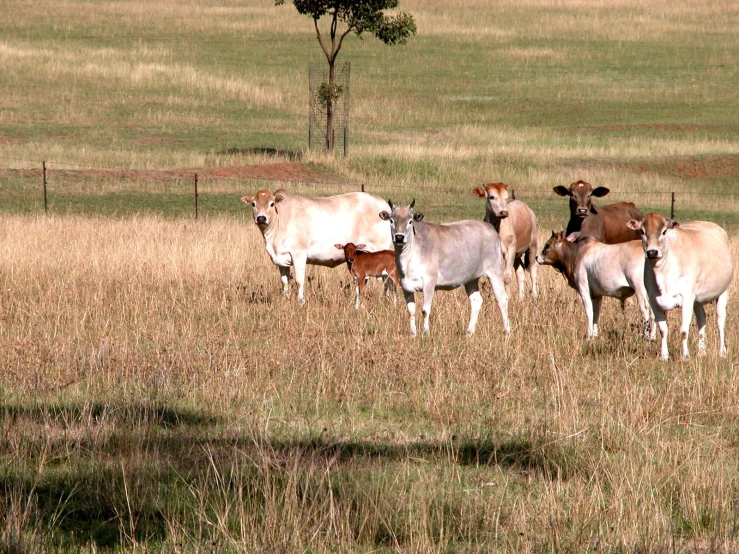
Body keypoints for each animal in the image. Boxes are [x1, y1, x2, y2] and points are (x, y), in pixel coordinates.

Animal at [241, 189, 394, 302]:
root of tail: (382, 204)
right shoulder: (281, 259)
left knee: (388, 279)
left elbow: (299, 280)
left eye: (272, 204)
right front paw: (285, 299)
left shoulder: (299, 254)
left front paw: (300, 301)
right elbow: (284, 281)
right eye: (253, 204)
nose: (261, 218)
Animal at [378, 199, 512, 334]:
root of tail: (489, 227)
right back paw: (469, 332)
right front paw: (413, 334)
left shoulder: (429, 282)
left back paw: (507, 330)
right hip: (471, 278)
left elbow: (425, 310)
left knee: (502, 299)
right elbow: (411, 311)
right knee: (476, 301)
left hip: (495, 271)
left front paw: (426, 333)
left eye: (410, 221)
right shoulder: (406, 285)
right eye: (391, 220)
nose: (399, 237)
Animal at [628, 211, 732, 358]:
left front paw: (685, 356)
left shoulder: (687, 298)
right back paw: (701, 351)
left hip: (723, 291)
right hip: (697, 300)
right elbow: (663, 330)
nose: (652, 252)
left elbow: (683, 330)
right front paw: (664, 356)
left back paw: (722, 352)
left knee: (720, 320)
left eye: (664, 231)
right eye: (642, 231)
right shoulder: (654, 300)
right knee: (701, 319)